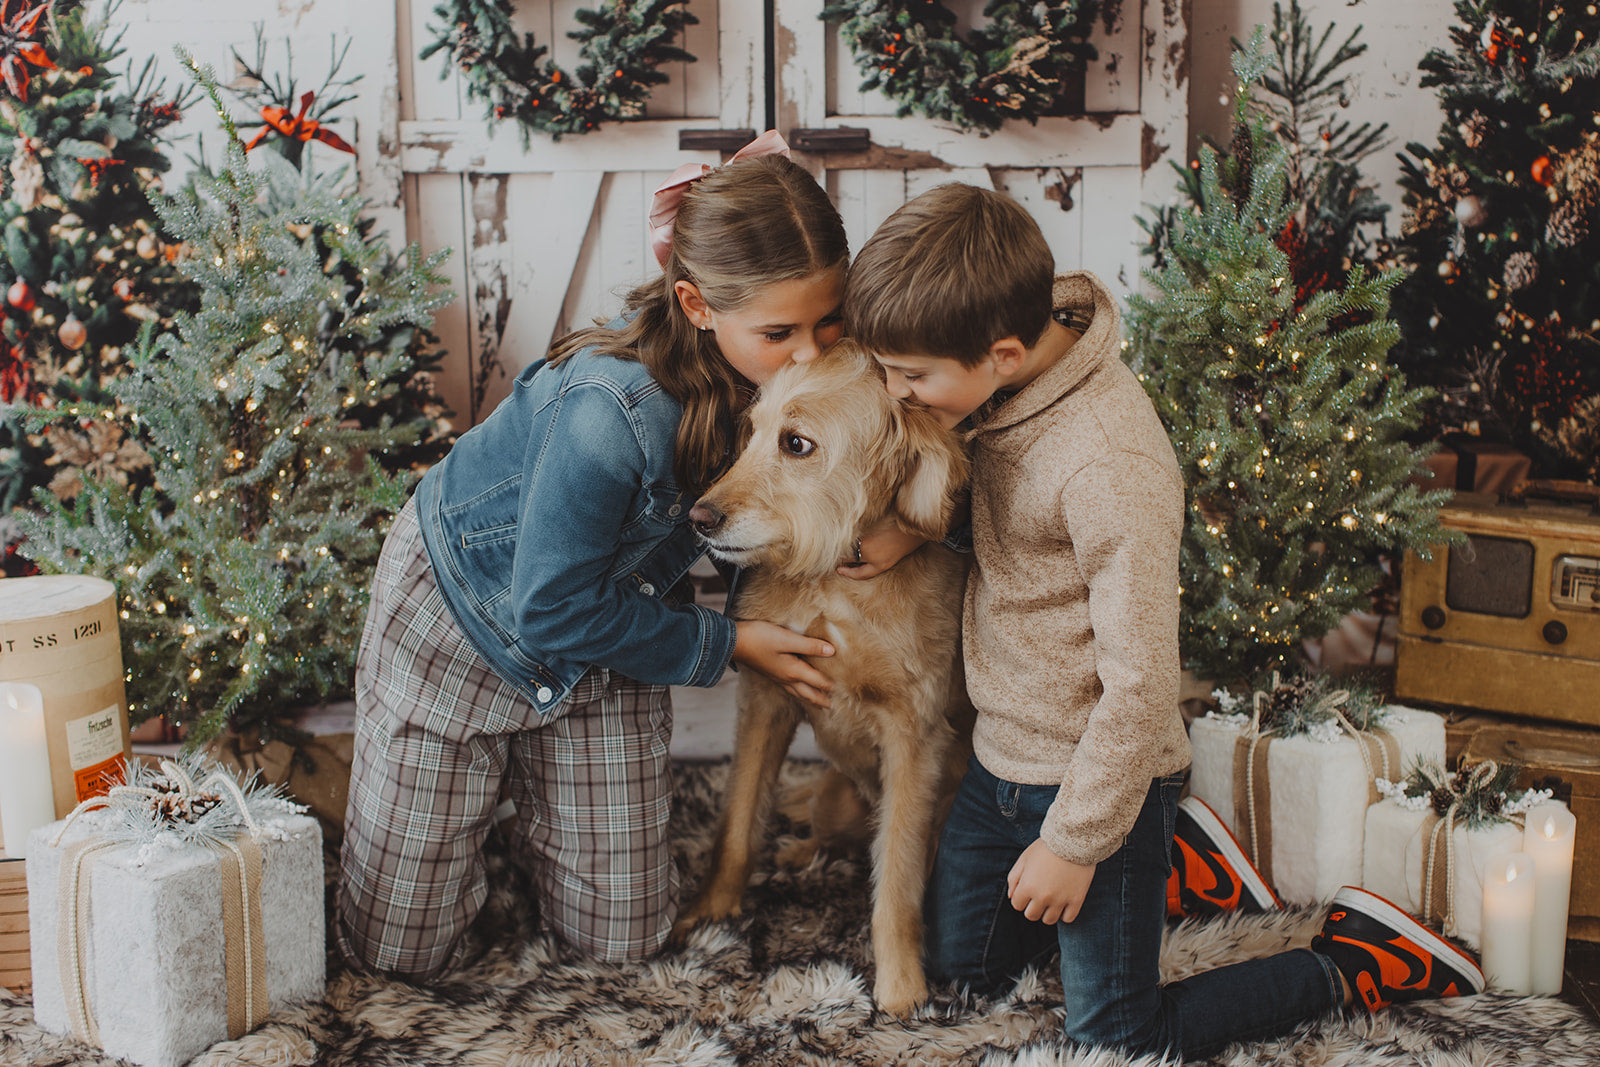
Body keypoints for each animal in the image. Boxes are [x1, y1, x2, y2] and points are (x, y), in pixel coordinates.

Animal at [668, 342, 966, 1017]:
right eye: (749, 433)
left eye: (797, 444)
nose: (699, 516)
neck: (831, 579)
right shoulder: (765, 701)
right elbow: (737, 822)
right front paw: (709, 913)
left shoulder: (914, 737)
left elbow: (898, 878)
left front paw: (902, 988)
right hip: (836, 797)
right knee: (831, 835)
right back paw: (800, 850)